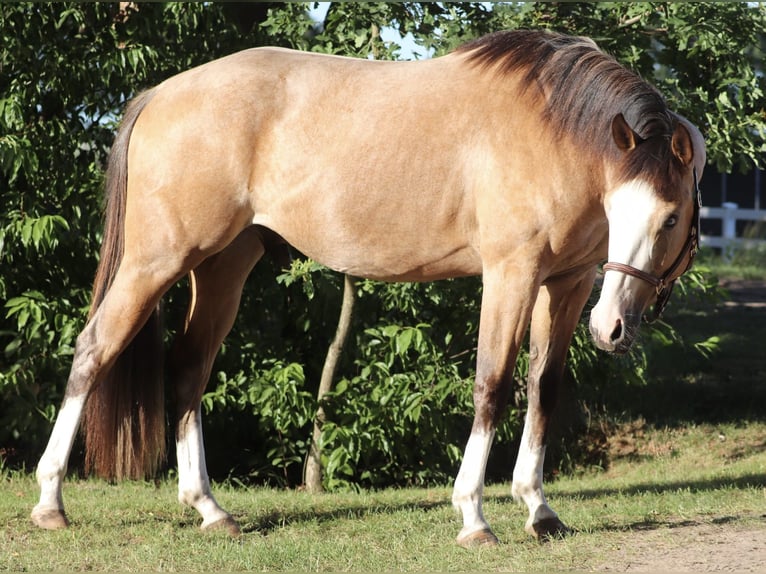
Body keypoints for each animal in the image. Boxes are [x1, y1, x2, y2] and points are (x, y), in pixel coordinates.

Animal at [31, 29, 704, 547]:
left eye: (669, 218)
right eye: (629, 212)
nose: (612, 329)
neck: (550, 130)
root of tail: (160, 94)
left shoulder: (565, 284)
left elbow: (544, 389)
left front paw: (539, 510)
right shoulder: (510, 275)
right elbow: (491, 387)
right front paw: (473, 517)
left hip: (222, 266)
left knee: (190, 369)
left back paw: (209, 509)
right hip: (156, 261)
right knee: (93, 351)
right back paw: (50, 502)